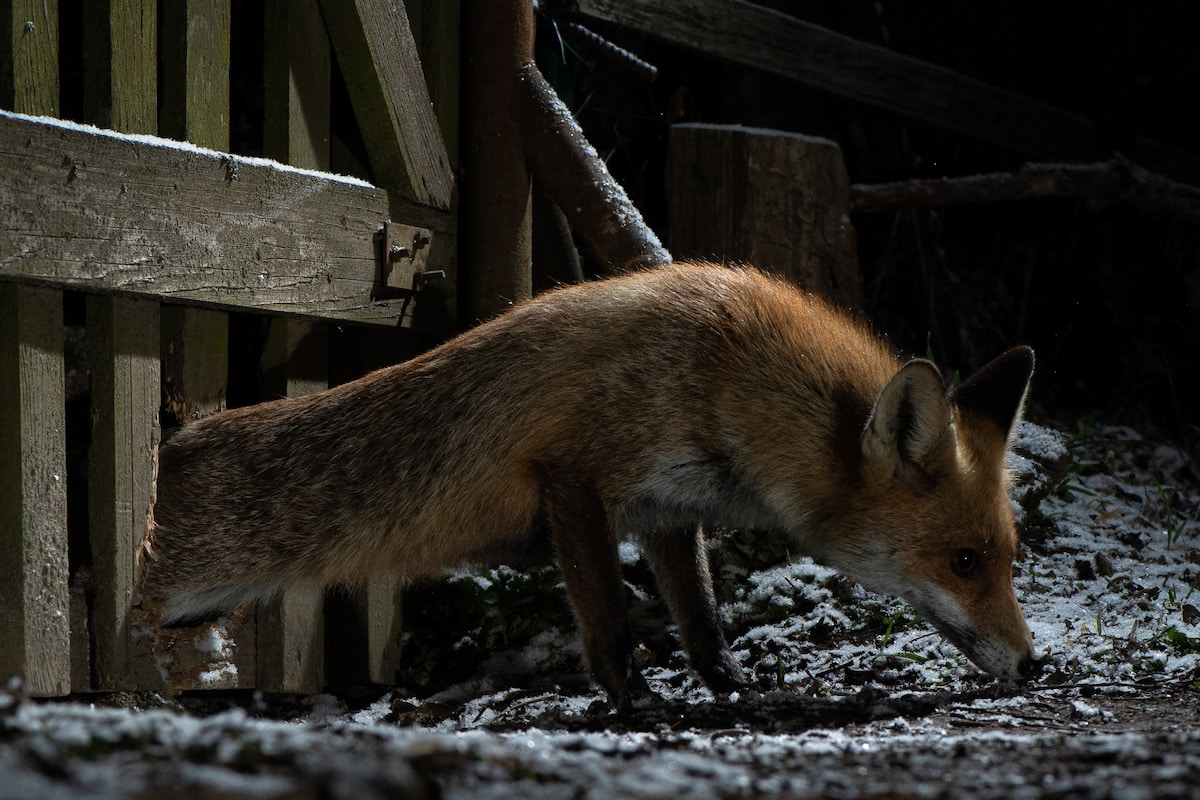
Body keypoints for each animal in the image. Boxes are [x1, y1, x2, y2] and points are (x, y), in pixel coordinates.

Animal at [142, 263, 1041, 705]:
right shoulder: (574, 479)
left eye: (1010, 559)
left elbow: (702, 620)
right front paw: (636, 705)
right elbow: (608, 621)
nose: (1036, 667)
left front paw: (733, 690)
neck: (722, 369)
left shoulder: (669, 511)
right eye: (964, 562)